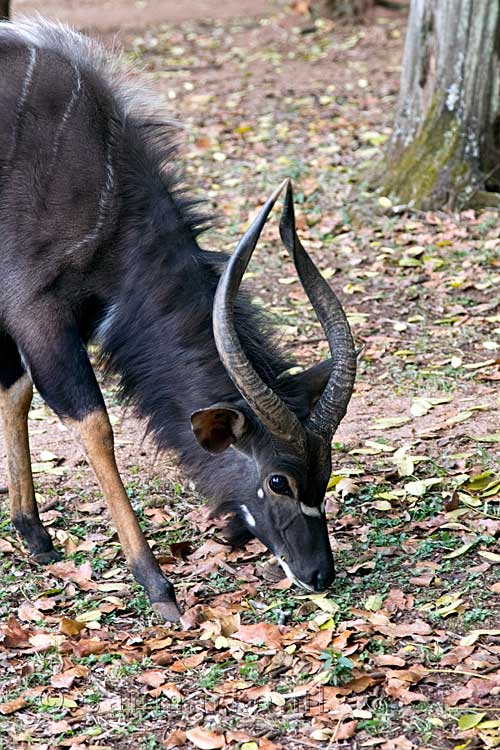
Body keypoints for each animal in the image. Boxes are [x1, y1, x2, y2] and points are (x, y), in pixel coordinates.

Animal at [0, 19, 356, 624]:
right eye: (278, 481)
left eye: (326, 471)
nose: (318, 574)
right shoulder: (35, 310)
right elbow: (94, 425)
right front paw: (158, 586)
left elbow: (15, 392)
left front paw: (35, 536)